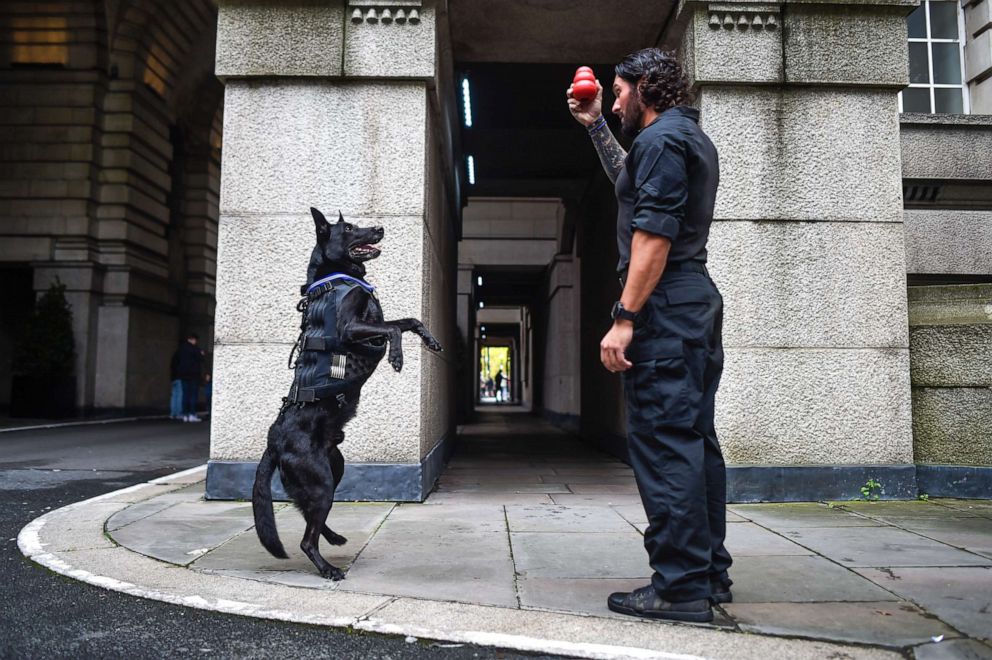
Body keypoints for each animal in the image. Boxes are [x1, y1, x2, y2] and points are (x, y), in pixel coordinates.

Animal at [252, 209, 442, 580]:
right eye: (350, 228)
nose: (380, 227)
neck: (336, 275)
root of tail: (273, 443)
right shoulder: (349, 329)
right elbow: (393, 328)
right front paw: (397, 357)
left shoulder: (374, 321)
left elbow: (409, 320)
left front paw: (430, 340)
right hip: (322, 479)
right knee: (306, 537)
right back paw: (327, 568)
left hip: (334, 468)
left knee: (309, 515)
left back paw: (334, 537)